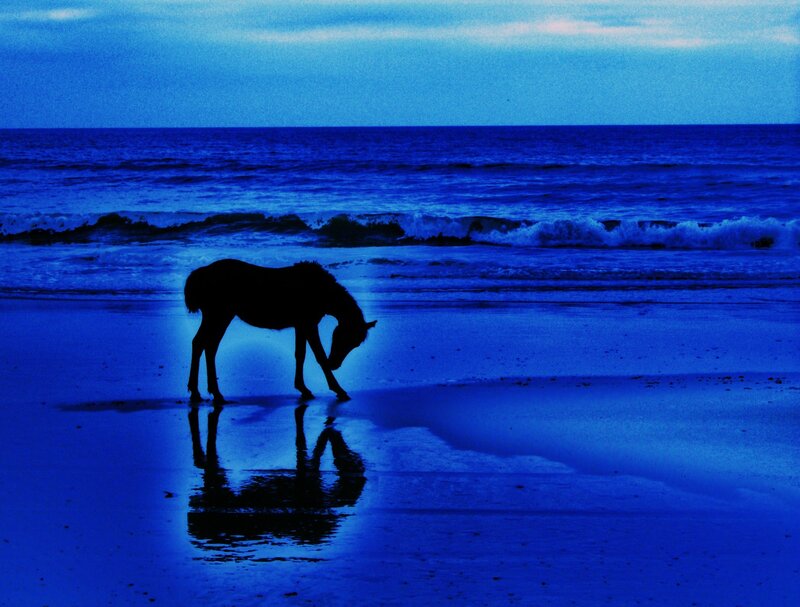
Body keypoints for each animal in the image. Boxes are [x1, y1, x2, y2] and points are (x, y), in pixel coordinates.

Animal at [185, 259, 376, 403]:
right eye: (344, 337)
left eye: (355, 344)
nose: (334, 364)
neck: (321, 291)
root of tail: (201, 274)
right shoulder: (309, 324)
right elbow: (319, 356)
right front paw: (338, 389)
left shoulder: (301, 325)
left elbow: (300, 354)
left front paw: (303, 388)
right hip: (219, 315)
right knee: (205, 345)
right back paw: (207, 392)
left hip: (218, 316)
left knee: (204, 345)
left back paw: (204, 392)